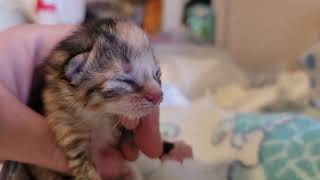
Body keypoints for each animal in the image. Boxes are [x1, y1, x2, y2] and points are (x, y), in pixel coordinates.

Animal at [1, 18, 164, 180]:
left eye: (157, 74)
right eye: (123, 80)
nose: (158, 96)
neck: (98, 114)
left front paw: (129, 123)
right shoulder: (67, 128)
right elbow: (85, 170)